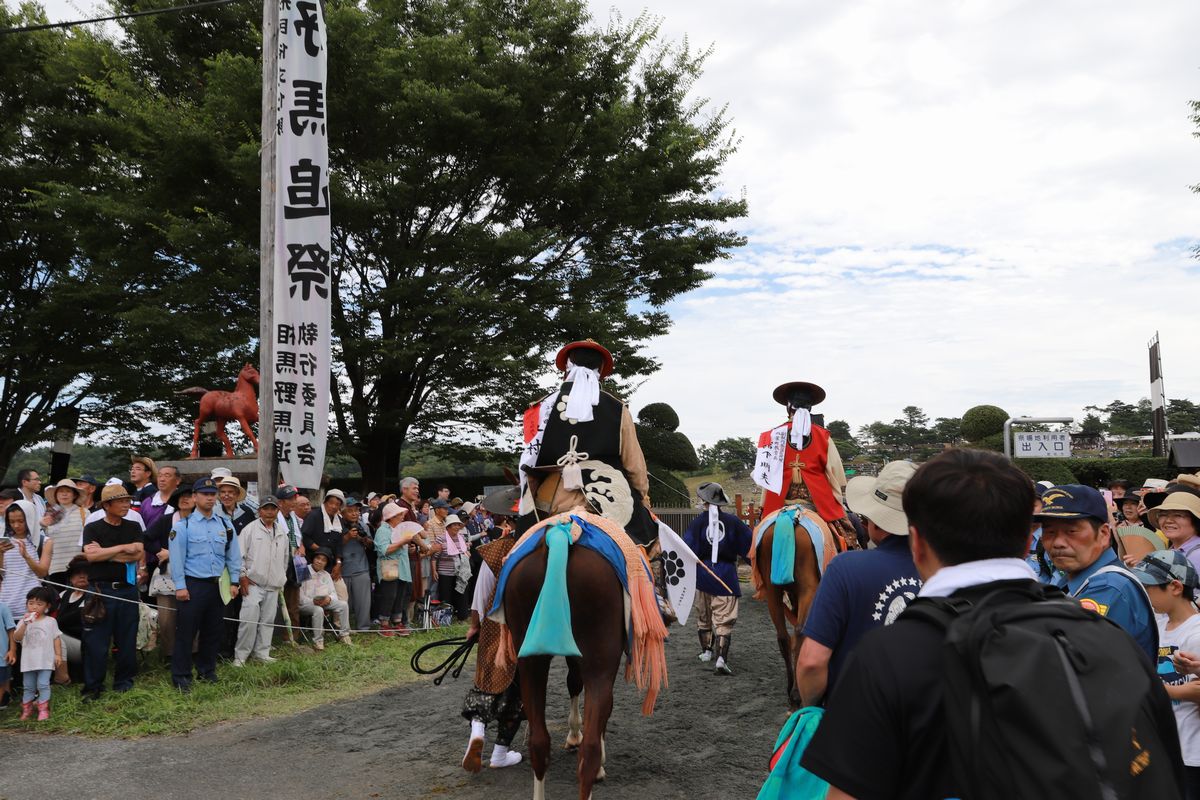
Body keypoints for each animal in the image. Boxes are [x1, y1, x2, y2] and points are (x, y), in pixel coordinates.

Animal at [748, 506, 835, 705]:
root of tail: (788, 518)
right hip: (808, 591)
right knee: (800, 633)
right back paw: (797, 692)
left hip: (773, 592)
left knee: (784, 637)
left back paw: (790, 688)